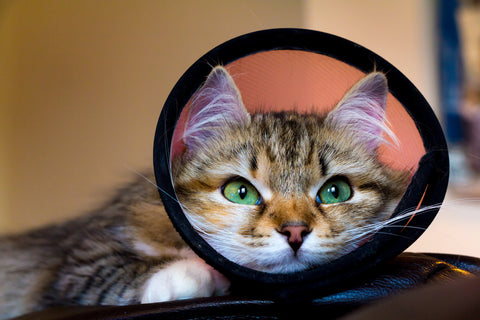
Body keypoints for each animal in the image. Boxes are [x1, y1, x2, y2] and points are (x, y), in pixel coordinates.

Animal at [0, 66, 410, 318]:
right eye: (241, 192)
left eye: (335, 192)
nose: (295, 232)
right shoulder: (77, 262)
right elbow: (122, 271)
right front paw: (195, 273)